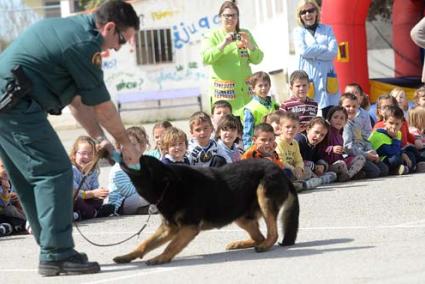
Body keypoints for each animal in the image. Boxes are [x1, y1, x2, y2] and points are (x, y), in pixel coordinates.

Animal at [112, 154, 298, 266]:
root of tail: (281, 172)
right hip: (240, 216)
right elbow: (144, 244)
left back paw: (264, 246)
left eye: (148, 164)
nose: (137, 155)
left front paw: (160, 258)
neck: (170, 187)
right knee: (259, 237)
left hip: (263, 197)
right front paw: (127, 256)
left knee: (272, 234)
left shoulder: (188, 228)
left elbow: (170, 246)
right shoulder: (169, 229)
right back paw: (240, 244)